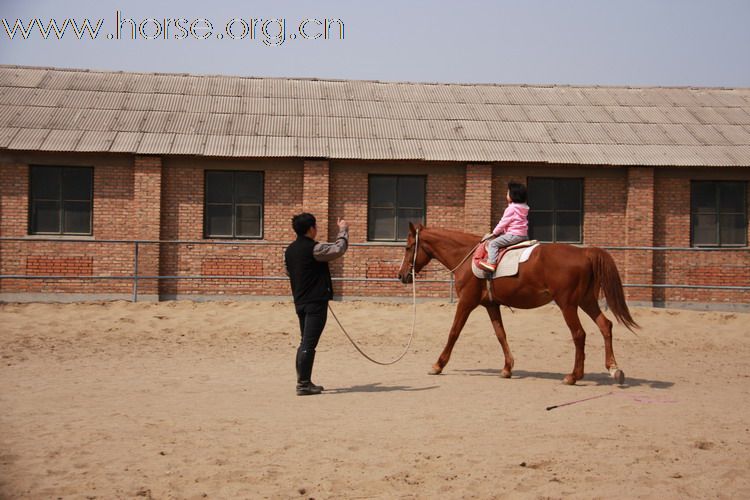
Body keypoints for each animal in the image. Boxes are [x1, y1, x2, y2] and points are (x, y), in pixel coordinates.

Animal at [396, 224, 636, 386]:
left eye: (408, 247)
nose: (401, 275)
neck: (467, 256)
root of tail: (584, 252)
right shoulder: (491, 305)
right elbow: (501, 334)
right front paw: (507, 368)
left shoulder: (466, 303)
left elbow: (454, 332)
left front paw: (438, 365)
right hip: (586, 301)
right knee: (605, 325)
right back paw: (614, 369)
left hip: (568, 304)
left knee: (579, 334)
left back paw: (573, 376)